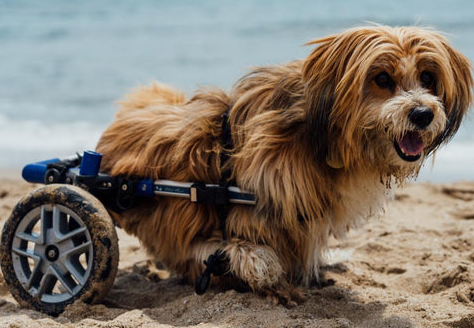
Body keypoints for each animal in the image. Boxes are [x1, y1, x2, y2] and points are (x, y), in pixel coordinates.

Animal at [95, 26, 470, 304]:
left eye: (427, 77)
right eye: (381, 79)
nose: (422, 114)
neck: (317, 137)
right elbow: (248, 253)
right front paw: (268, 278)